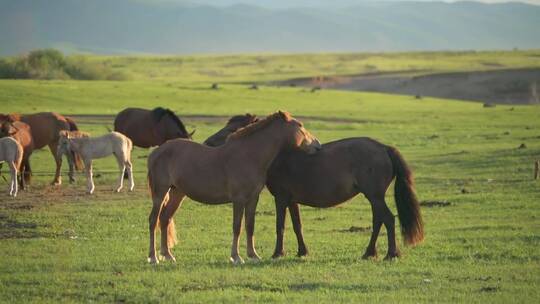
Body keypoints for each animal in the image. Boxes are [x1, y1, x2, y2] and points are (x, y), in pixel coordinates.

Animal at [147, 111, 320, 264]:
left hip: (177, 193)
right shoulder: (238, 199)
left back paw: (168, 255)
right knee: (153, 220)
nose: (317, 145)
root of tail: (157, 152)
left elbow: (250, 225)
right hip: (160, 192)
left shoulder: (253, 198)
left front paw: (253, 255)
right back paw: (153, 257)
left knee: (165, 218)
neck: (248, 156)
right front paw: (236, 257)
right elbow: (237, 226)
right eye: (300, 125)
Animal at [205, 113, 424, 258]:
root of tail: (384, 148)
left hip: (375, 196)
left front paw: (278, 253)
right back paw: (369, 252)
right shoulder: (291, 200)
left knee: (388, 219)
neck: (279, 156)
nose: (207, 142)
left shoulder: (281, 198)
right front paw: (302, 251)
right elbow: (297, 225)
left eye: (231, 130)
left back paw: (391, 254)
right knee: (379, 220)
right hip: (374, 197)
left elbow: (280, 225)